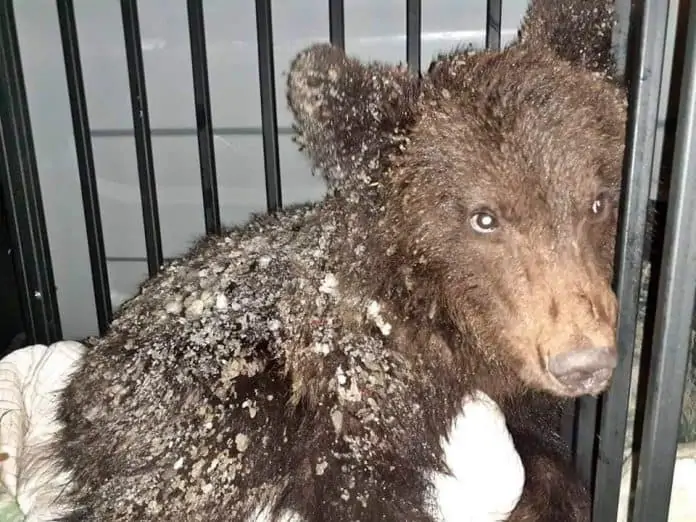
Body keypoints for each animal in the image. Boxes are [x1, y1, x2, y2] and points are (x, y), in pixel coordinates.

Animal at [55, 0, 624, 516]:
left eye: (598, 202)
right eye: (484, 218)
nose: (583, 363)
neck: (447, 331)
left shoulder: (517, 398)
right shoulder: (352, 397)